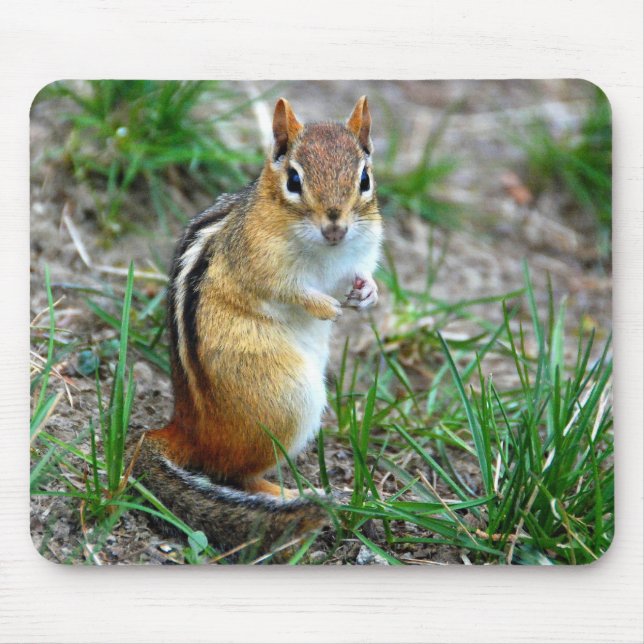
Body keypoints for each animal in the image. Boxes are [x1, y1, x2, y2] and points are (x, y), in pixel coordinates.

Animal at [128, 96, 383, 556]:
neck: (325, 251)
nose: (335, 226)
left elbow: (363, 274)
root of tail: (188, 428)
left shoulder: (362, 252)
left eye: (365, 178)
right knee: (233, 475)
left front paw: (365, 294)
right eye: (294, 179)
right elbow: (286, 290)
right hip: (287, 400)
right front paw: (326, 308)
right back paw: (294, 494)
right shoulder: (257, 263)